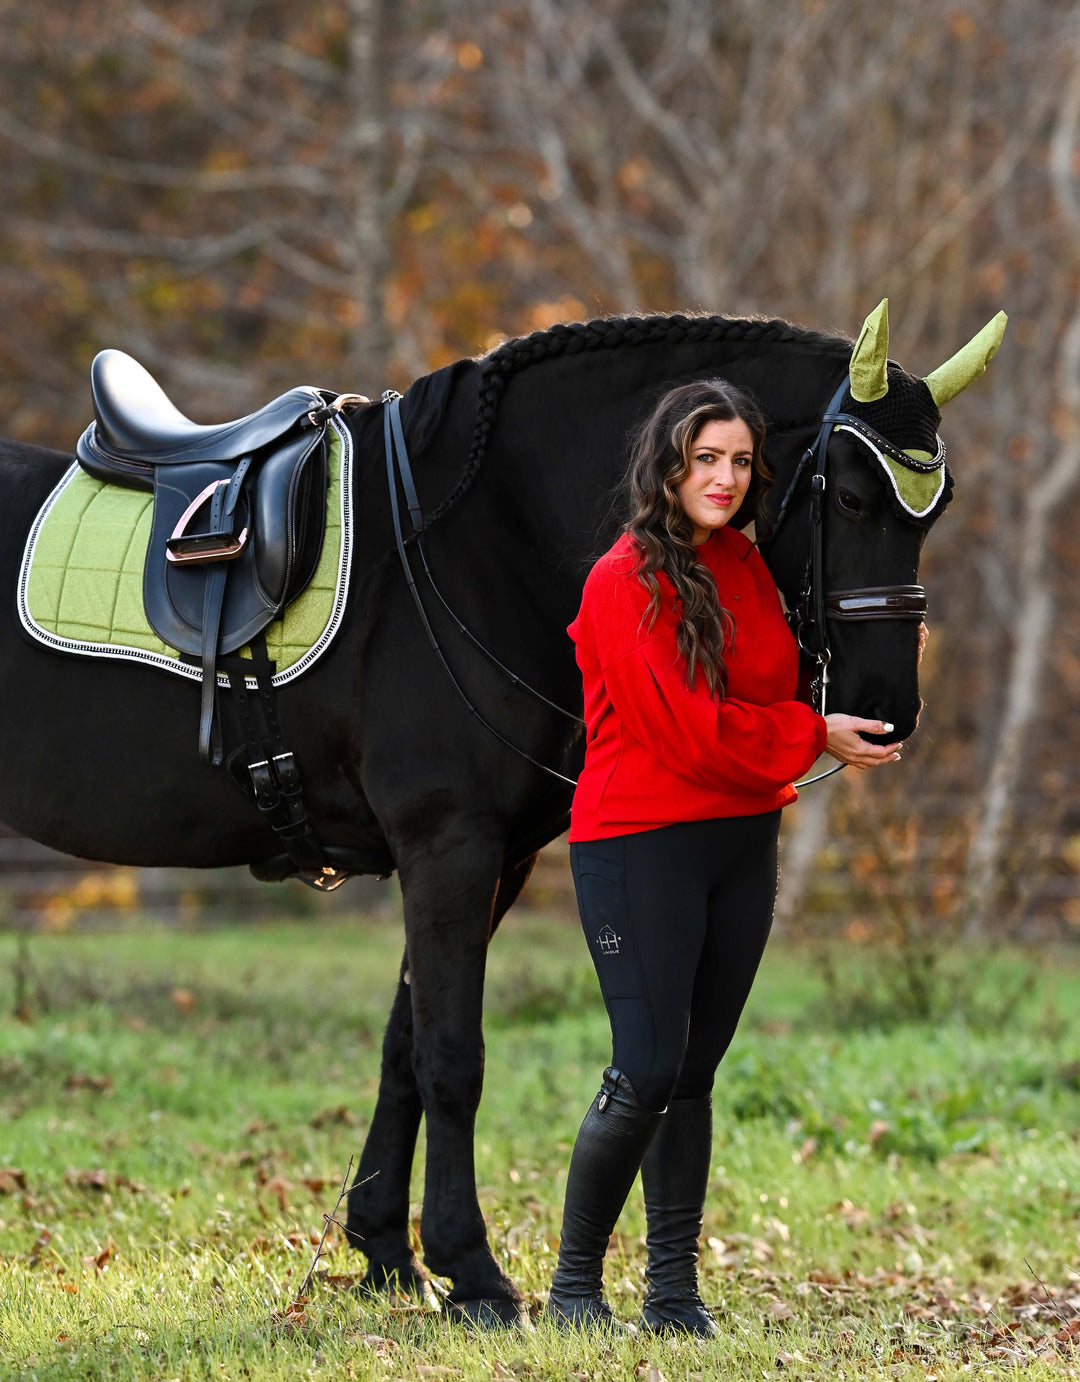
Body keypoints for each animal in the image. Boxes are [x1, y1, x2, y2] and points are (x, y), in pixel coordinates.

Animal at [0, 302, 1001, 1315]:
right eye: (852, 497)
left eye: (939, 504)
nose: (886, 711)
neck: (477, 544)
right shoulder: (449, 847)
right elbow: (453, 1056)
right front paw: (471, 1268)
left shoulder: (491, 862)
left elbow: (404, 1048)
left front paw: (386, 1253)